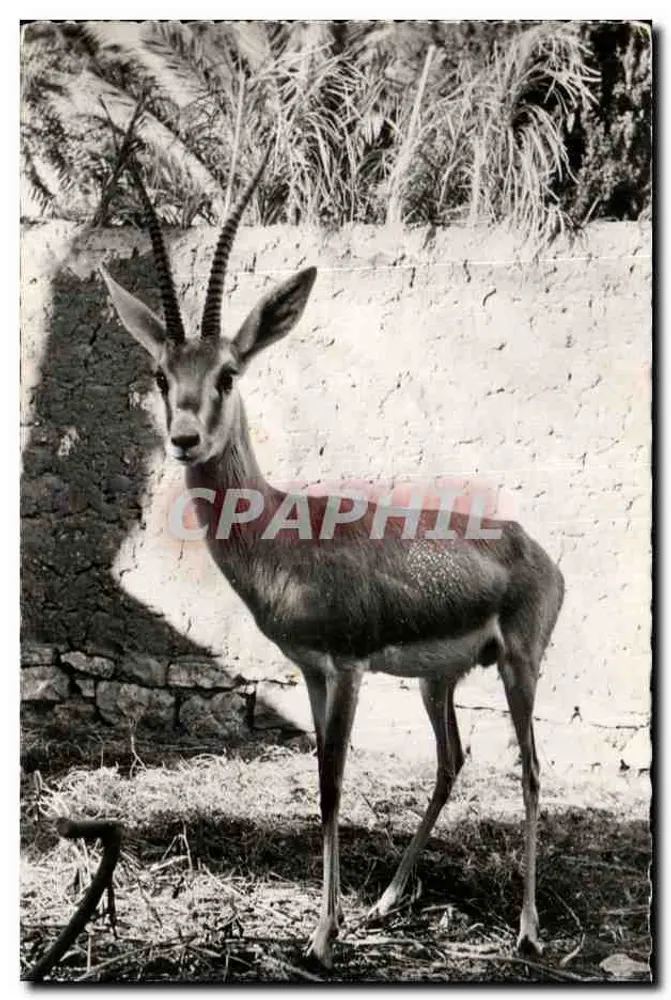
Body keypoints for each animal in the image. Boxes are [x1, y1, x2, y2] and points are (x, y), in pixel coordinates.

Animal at [100, 155, 564, 970]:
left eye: (227, 373)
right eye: (160, 374)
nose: (185, 439)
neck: (286, 535)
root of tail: (531, 545)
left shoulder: (345, 669)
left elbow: (333, 786)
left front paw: (321, 937)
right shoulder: (311, 672)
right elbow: (320, 783)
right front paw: (336, 922)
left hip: (519, 668)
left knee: (532, 771)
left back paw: (528, 930)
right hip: (438, 680)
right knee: (451, 760)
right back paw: (388, 900)